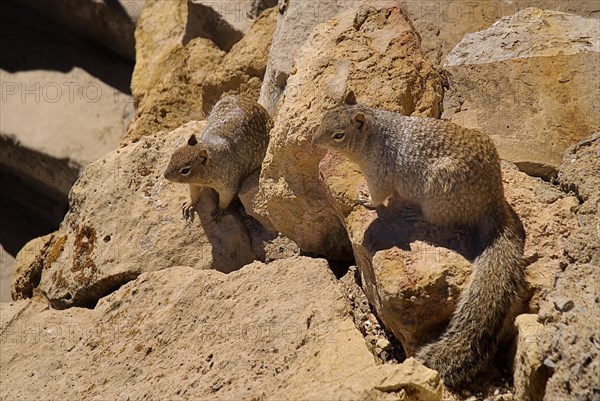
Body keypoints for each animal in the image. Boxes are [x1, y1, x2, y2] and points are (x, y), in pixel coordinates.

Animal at [312, 92, 528, 386]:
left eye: (338, 135)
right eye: (324, 116)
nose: (313, 141)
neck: (375, 137)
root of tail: (493, 200)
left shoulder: (378, 173)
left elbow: (379, 195)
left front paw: (366, 198)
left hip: (440, 193)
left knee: (442, 220)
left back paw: (416, 214)